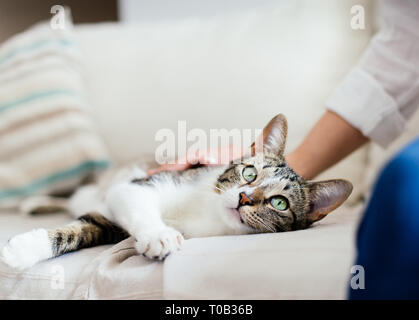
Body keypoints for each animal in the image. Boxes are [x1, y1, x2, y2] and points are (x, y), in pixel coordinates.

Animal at [1, 115, 352, 270]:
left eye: (279, 202)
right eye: (249, 173)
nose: (244, 198)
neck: (207, 213)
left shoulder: (111, 223)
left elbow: (86, 229)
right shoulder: (139, 185)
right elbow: (130, 205)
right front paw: (159, 235)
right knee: (75, 196)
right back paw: (36, 201)